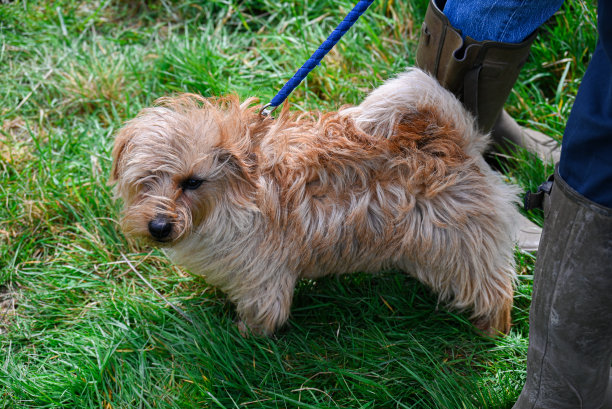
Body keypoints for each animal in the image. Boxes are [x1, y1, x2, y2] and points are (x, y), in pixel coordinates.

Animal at [111, 68, 520, 336]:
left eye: (193, 182)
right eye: (145, 181)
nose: (159, 227)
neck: (235, 195)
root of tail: (457, 140)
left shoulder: (264, 278)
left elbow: (262, 315)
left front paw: (244, 335)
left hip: (463, 248)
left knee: (495, 288)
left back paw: (491, 329)